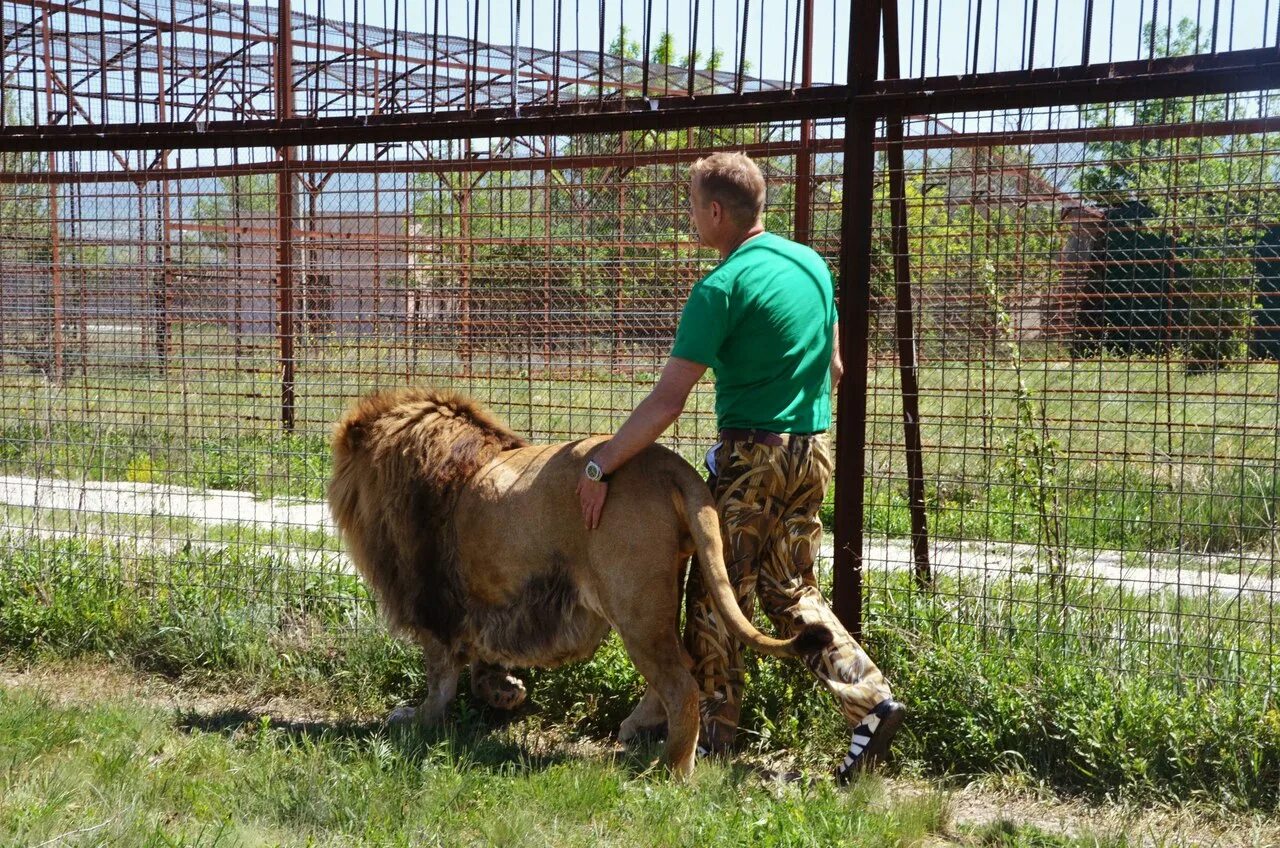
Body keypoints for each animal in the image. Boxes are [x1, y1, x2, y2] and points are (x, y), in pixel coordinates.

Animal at [325, 389, 834, 778]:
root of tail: (668, 463)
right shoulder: (488, 600)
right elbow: (480, 659)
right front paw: (505, 693)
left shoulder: (432, 600)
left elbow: (440, 676)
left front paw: (418, 720)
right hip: (666, 588)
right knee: (689, 663)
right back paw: (639, 731)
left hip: (634, 605)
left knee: (682, 684)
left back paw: (670, 770)